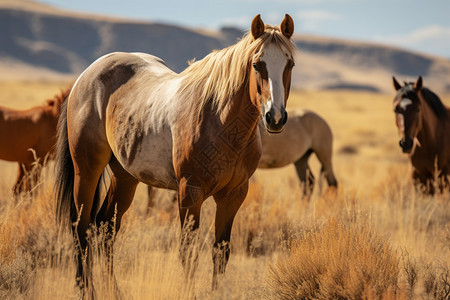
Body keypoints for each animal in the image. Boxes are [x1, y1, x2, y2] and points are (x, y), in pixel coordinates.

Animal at [55, 14, 296, 292]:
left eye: (290, 64)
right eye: (257, 64)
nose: (275, 118)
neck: (219, 119)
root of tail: (84, 77)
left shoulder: (233, 195)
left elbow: (220, 252)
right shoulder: (190, 192)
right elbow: (188, 254)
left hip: (125, 177)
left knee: (105, 226)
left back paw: (113, 291)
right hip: (87, 171)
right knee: (81, 228)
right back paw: (86, 289)